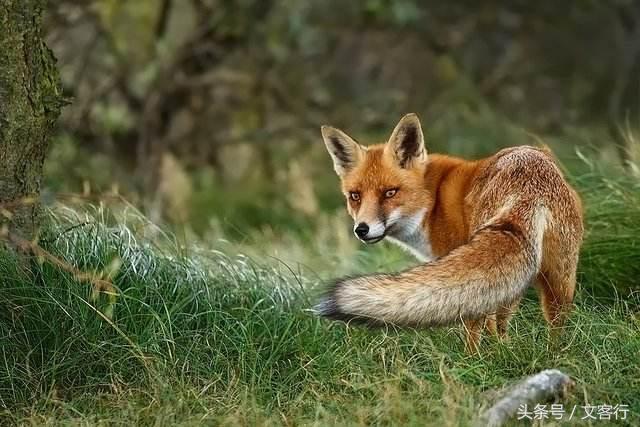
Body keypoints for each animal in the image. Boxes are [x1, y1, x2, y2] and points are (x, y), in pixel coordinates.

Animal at [316, 113, 584, 352]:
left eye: (390, 193)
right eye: (355, 196)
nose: (362, 229)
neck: (433, 202)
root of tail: (529, 190)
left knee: (480, 325)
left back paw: (473, 361)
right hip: (556, 279)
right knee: (549, 323)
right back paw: (548, 355)